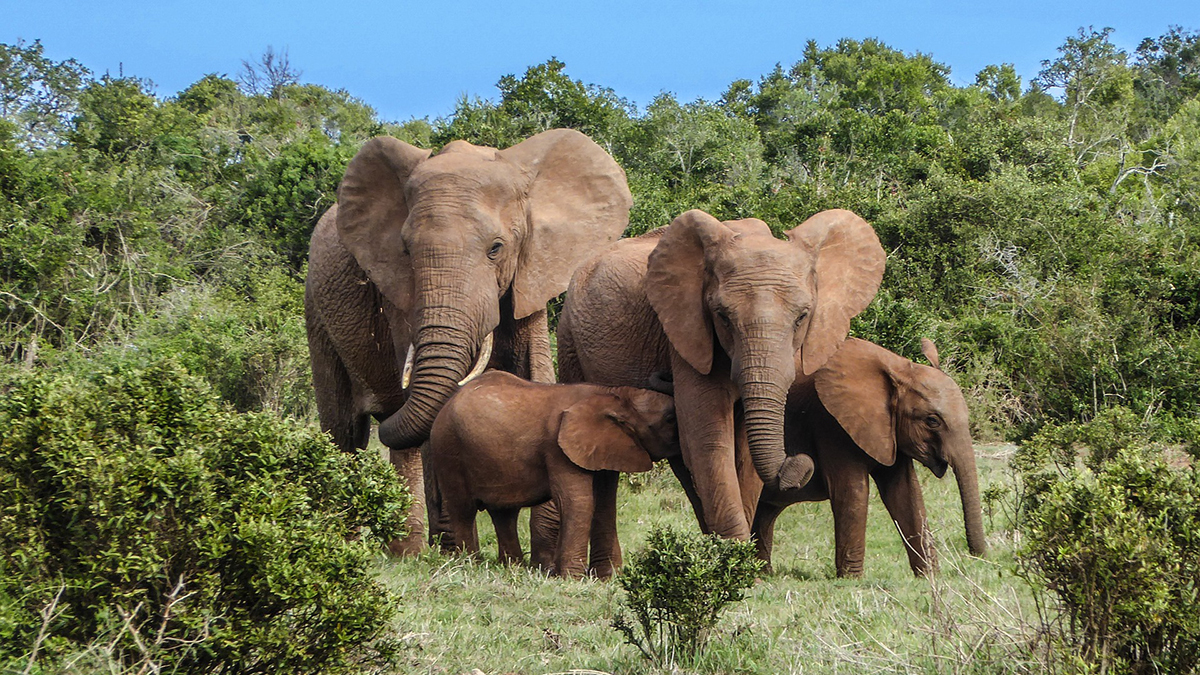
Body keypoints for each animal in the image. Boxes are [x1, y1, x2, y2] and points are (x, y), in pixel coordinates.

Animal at [304, 127, 633, 552]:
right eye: (406, 251)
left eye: (496, 249)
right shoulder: (398, 293)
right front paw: (455, 550)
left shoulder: (530, 273)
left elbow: (536, 373)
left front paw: (544, 553)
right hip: (316, 309)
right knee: (345, 432)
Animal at [429, 369, 676, 576]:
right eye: (669, 419)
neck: (613, 394)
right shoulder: (557, 448)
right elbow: (577, 502)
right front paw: (572, 579)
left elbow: (604, 504)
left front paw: (609, 578)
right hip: (447, 449)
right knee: (463, 510)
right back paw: (470, 565)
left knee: (504, 513)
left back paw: (512, 568)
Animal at [753, 338, 988, 576]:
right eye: (932, 421)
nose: (977, 556)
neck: (899, 368)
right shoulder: (830, 423)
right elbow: (852, 492)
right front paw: (851, 579)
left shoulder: (890, 432)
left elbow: (906, 492)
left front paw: (930, 577)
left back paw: (763, 573)